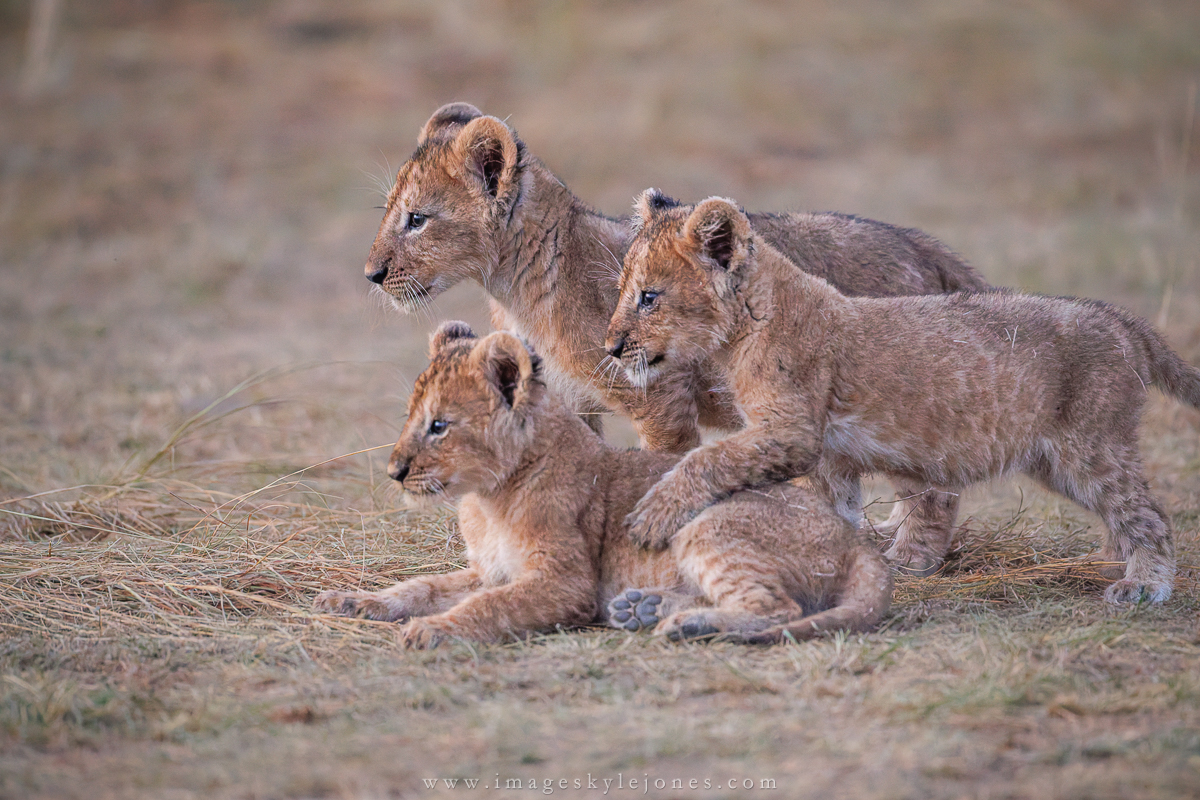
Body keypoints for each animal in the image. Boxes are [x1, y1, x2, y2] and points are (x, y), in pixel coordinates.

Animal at [312, 322, 892, 647]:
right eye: (412, 418)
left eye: (439, 425)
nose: (394, 471)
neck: (487, 497)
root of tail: (856, 542)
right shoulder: (490, 571)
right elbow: (422, 588)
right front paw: (355, 602)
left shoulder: (565, 583)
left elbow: (487, 607)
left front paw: (436, 630)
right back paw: (646, 609)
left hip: (710, 525)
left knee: (780, 610)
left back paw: (687, 626)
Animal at [363, 102, 987, 543]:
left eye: (417, 219)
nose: (371, 274)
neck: (517, 289)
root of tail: (925, 247)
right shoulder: (565, 403)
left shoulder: (661, 399)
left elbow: (662, 469)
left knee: (934, 488)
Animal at [604, 191, 1200, 605]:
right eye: (621, 292)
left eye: (649, 297)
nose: (610, 346)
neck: (746, 325)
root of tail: (1119, 318)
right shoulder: (828, 454)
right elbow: (834, 512)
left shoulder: (791, 430)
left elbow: (703, 460)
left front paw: (650, 517)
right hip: (1057, 461)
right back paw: (1110, 566)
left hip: (1090, 447)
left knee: (1148, 514)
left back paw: (1143, 586)